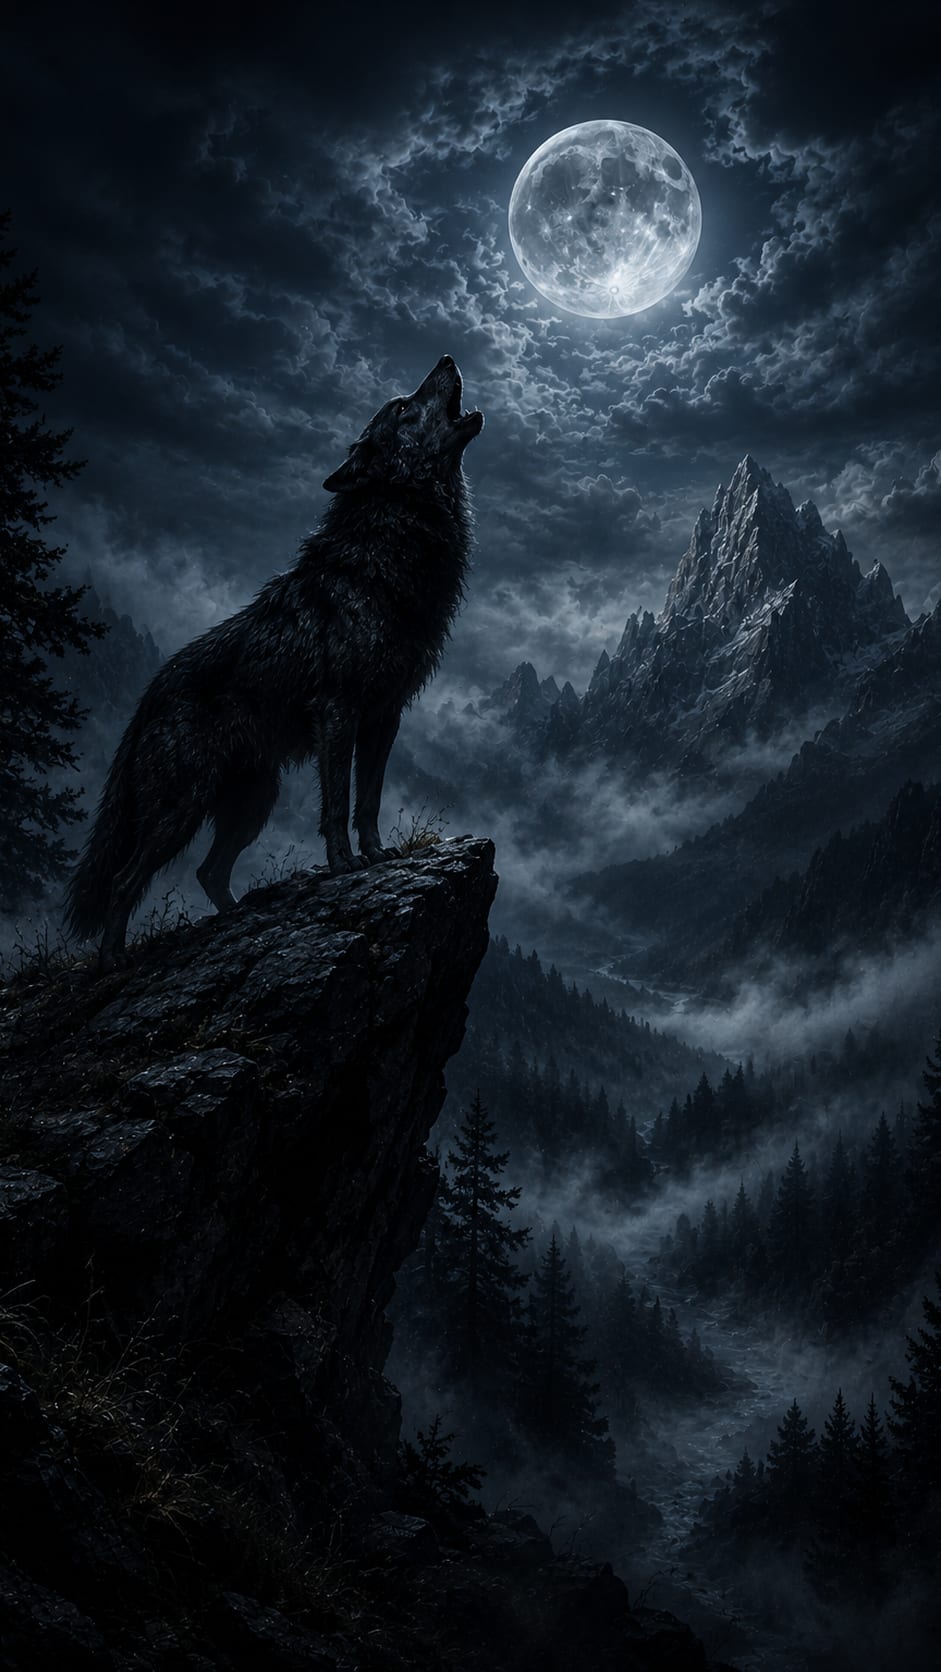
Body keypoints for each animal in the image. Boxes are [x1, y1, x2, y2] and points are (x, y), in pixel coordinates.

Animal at [67, 355, 483, 969]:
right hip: (180, 808)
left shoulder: (385, 715)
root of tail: (150, 694)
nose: (448, 358)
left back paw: (237, 918)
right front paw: (345, 866)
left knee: (209, 871)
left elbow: (369, 801)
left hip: (253, 802)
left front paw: (378, 855)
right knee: (127, 879)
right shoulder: (339, 710)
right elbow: (337, 804)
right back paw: (114, 959)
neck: (389, 552)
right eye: (404, 406)